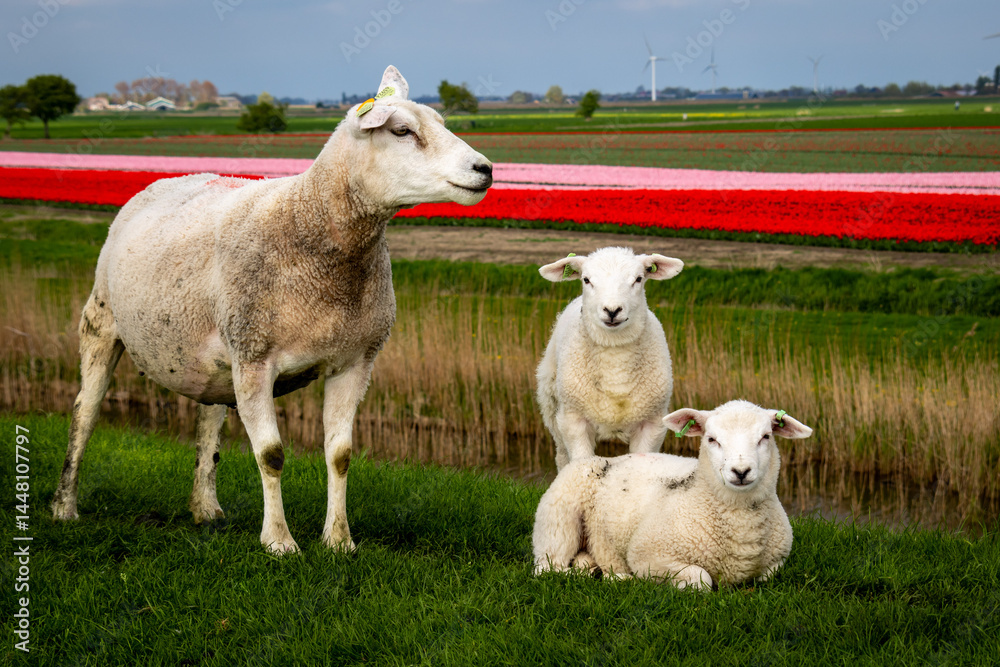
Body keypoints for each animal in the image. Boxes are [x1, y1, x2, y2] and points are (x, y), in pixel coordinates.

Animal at [50, 65, 494, 554]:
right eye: (401, 131)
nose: (486, 169)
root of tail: (171, 178)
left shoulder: (355, 360)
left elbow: (340, 456)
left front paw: (339, 540)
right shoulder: (255, 359)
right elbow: (271, 455)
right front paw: (279, 542)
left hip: (217, 355)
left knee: (209, 421)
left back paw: (206, 509)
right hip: (102, 321)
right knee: (84, 412)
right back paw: (64, 506)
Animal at [532, 400, 813, 590]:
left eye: (766, 437)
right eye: (712, 439)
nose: (741, 471)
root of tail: (603, 458)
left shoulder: (778, 560)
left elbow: (768, 575)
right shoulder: (648, 554)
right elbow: (700, 578)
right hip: (558, 520)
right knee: (548, 568)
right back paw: (614, 577)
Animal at [535, 247, 684, 470]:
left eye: (638, 279)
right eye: (586, 279)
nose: (612, 310)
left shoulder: (652, 423)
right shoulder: (573, 420)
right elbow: (581, 465)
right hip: (552, 407)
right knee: (561, 456)